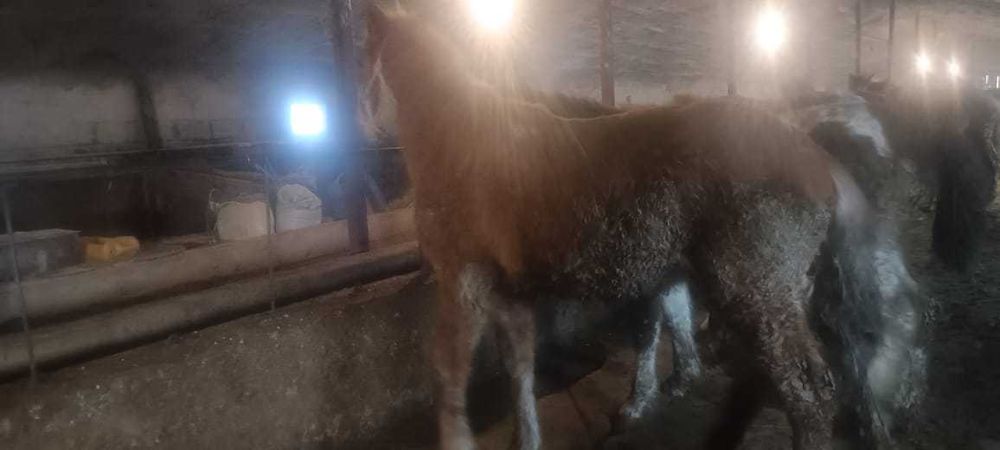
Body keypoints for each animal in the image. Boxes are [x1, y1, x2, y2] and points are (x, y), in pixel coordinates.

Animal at [366, 7, 886, 450]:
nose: (370, 146)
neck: (459, 136)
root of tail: (815, 161)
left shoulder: (464, 281)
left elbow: (449, 373)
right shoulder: (510, 292)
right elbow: (521, 370)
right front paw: (527, 438)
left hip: (757, 287)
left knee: (807, 389)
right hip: (783, 287)